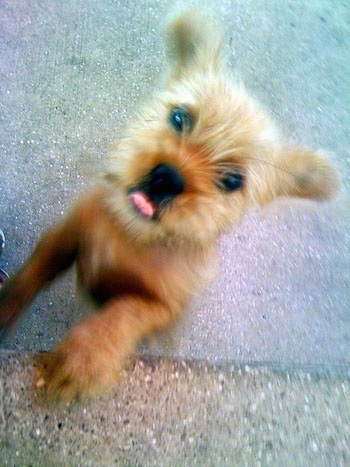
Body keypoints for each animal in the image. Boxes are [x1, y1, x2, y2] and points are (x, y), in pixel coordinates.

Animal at [0, 9, 340, 400]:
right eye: (179, 117)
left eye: (233, 181)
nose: (168, 177)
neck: (130, 236)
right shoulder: (66, 235)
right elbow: (32, 271)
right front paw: (5, 306)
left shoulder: (164, 306)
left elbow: (127, 310)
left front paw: (85, 357)